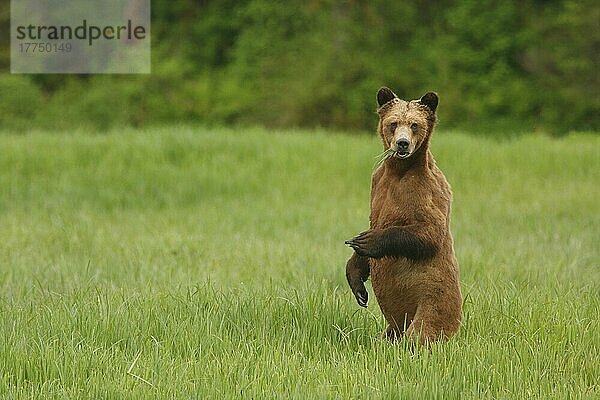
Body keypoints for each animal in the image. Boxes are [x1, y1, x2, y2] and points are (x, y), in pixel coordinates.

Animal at [344, 87, 462, 344]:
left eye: (415, 124)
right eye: (393, 123)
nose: (402, 144)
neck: (399, 172)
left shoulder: (425, 190)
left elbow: (429, 232)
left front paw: (366, 241)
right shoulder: (378, 185)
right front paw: (358, 285)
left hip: (432, 301)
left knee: (422, 332)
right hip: (394, 325)